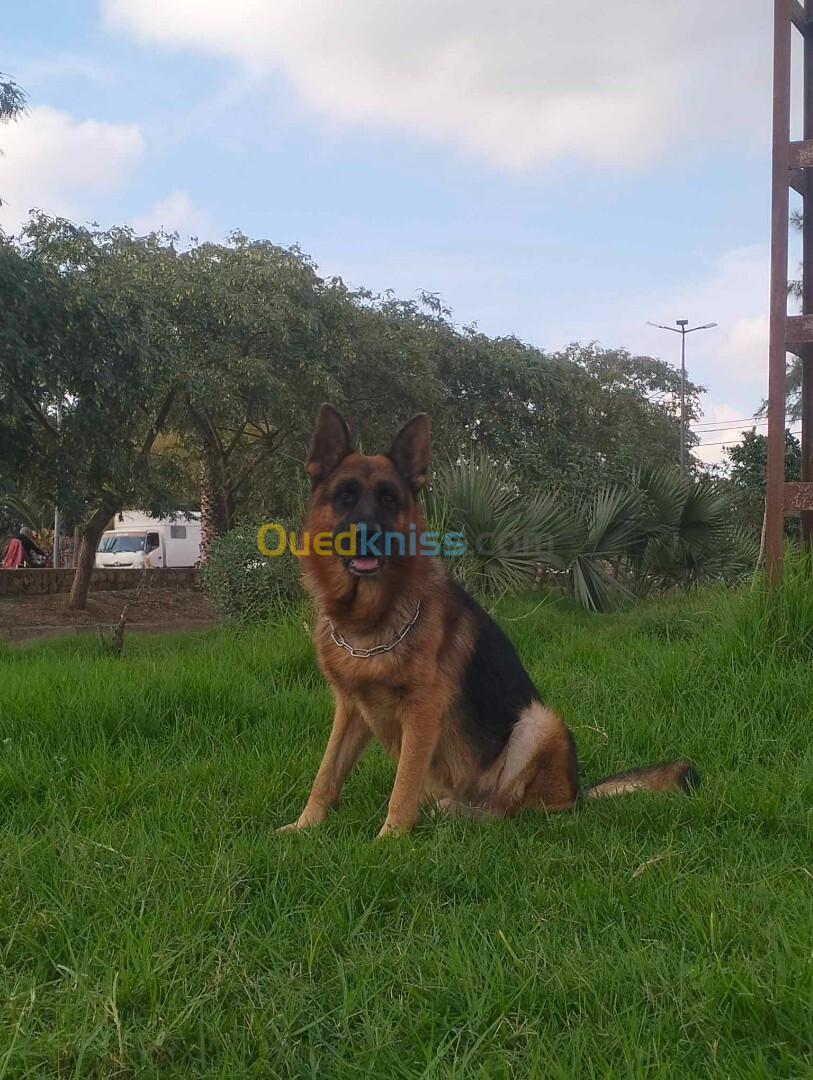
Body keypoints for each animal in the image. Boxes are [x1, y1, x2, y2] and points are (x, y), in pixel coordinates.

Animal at [280, 406, 699, 833]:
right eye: (345, 495)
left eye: (388, 498)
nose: (367, 534)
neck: (367, 622)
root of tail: (579, 792)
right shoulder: (350, 708)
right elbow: (327, 772)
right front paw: (304, 826)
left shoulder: (422, 710)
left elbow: (403, 784)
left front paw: (389, 838)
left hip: (539, 722)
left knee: (519, 809)